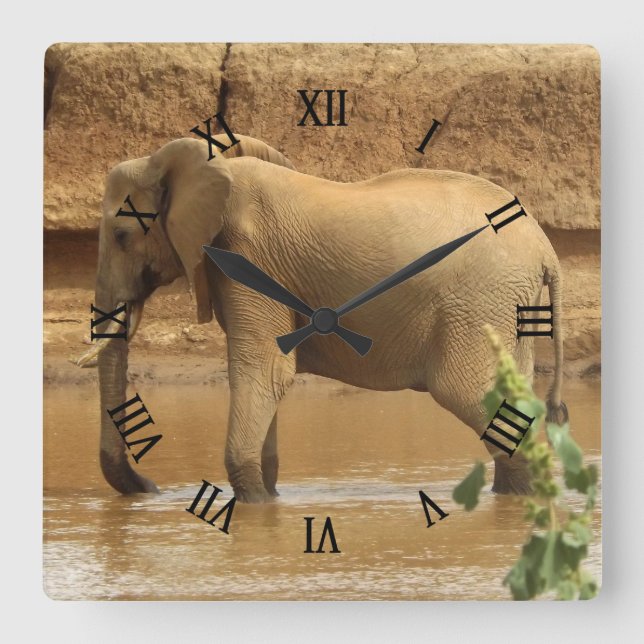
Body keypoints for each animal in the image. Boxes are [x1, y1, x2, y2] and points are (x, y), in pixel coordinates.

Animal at [86, 135, 566, 503]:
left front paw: (254, 505)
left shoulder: (246, 258)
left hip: (480, 302)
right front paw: (269, 498)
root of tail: (546, 249)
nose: (151, 487)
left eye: (122, 235)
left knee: (467, 393)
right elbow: (271, 376)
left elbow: (264, 369)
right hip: (507, 308)